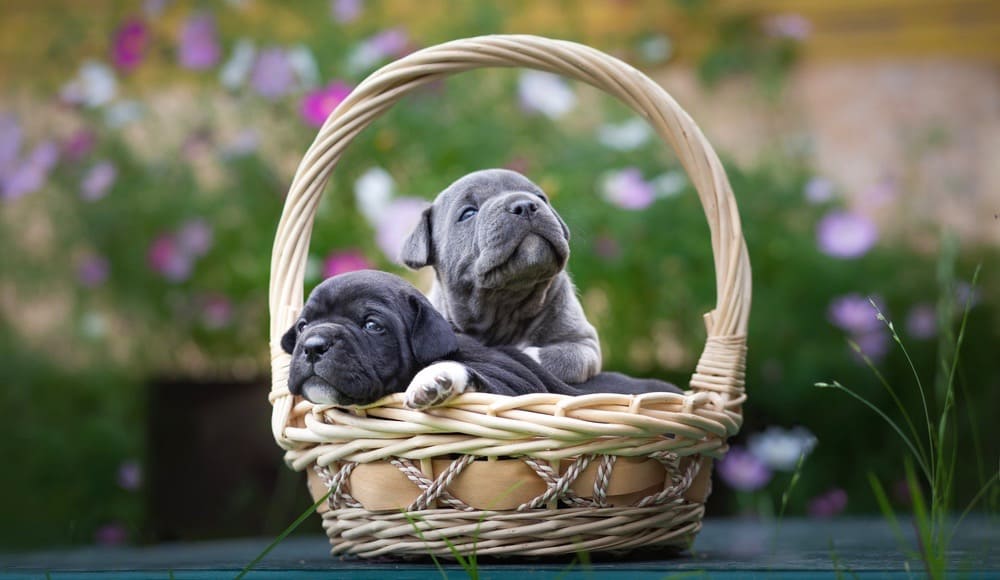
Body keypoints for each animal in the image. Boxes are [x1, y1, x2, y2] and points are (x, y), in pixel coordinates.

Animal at [398, 168, 600, 386]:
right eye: (468, 213)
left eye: (541, 198)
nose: (525, 205)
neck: (506, 303)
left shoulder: (584, 344)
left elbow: (546, 357)